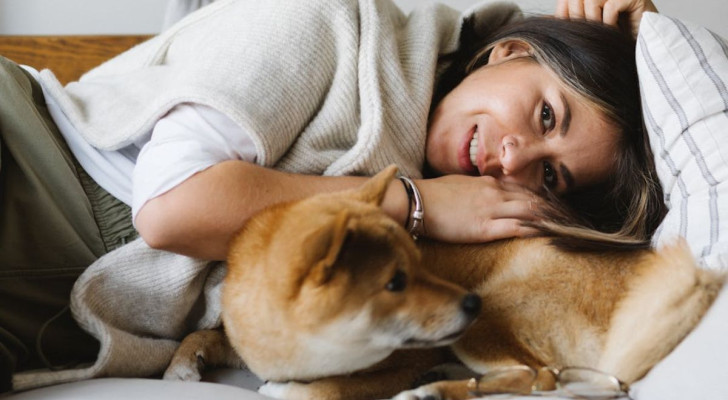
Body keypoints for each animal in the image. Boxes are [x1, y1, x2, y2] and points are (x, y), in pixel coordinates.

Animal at [162, 166, 724, 400]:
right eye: (396, 281)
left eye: (418, 268)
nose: (467, 302)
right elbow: (206, 333)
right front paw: (182, 365)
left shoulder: (401, 355)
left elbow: (323, 391)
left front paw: (291, 389)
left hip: (494, 311)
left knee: (536, 377)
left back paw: (431, 390)